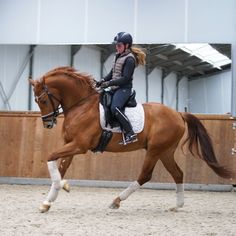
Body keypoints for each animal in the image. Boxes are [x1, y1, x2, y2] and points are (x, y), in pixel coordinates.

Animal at [29, 67, 234, 214]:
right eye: (37, 101)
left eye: (43, 101)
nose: (48, 123)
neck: (82, 105)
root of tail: (178, 113)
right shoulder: (70, 145)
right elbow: (60, 168)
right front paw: (49, 201)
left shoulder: (79, 146)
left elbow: (50, 157)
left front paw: (59, 189)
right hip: (165, 151)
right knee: (178, 174)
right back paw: (177, 206)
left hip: (154, 150)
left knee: (145, 176)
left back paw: (116, 201)